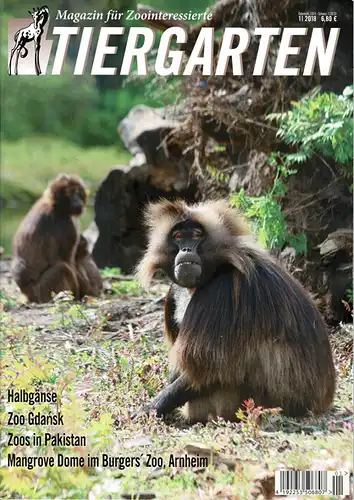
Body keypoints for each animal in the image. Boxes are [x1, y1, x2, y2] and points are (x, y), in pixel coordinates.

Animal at [11, 174, 102, 302]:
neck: (56, 206)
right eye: (70, 194)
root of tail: (26, 293)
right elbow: (68, 262)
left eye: (78, 193)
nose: (77, 200)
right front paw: (88, 293)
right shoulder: (66, 225)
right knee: (62, 268)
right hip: (41, 292)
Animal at [134, 198, 336, 422]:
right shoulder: (174, 292)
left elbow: (206, 369)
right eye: (178, 237)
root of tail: (320, 404)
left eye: (196, 236)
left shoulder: (222, 290)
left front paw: (149, 409)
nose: (186, 250)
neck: (218, 266)